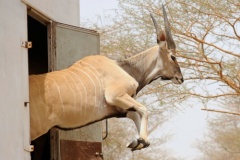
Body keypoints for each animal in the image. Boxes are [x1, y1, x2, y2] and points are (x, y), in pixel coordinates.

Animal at [30, 5, 184, 151]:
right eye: (173, 56)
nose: (181, 78)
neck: (123, 67)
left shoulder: (121, 109)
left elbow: (137, 114)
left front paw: (138, 142)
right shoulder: (114, 96)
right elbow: (144, 110)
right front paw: (140, 141)